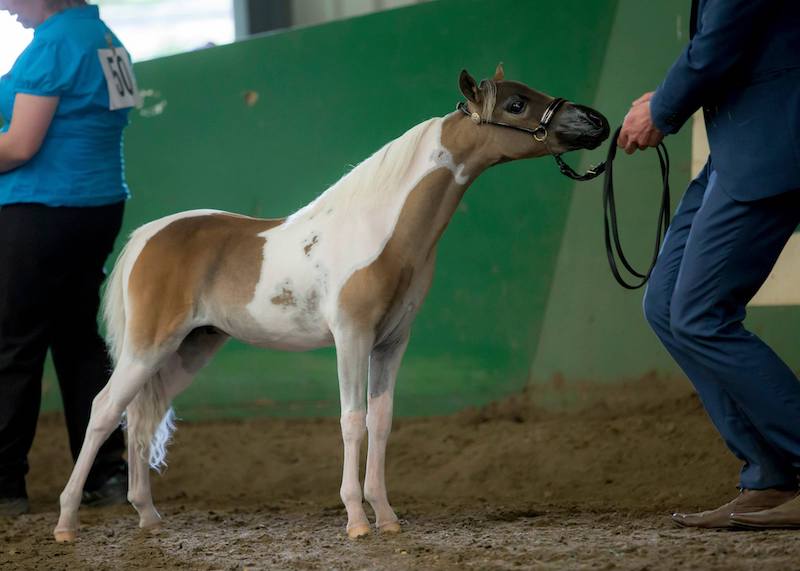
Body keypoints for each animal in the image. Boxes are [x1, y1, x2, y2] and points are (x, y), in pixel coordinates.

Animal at [53, 64, 609, 542]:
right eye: (516, 103)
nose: (596, 122)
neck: (383, 231)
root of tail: (148, 236)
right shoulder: (351, 338)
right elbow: (351, 421)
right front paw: (356, 520)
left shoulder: (391, 344)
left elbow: (380, 422)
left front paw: (386, 517)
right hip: (149, 346)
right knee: (104, 411)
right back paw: (66, 523)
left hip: (191, 348)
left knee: (141, 418)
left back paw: (147, 515)